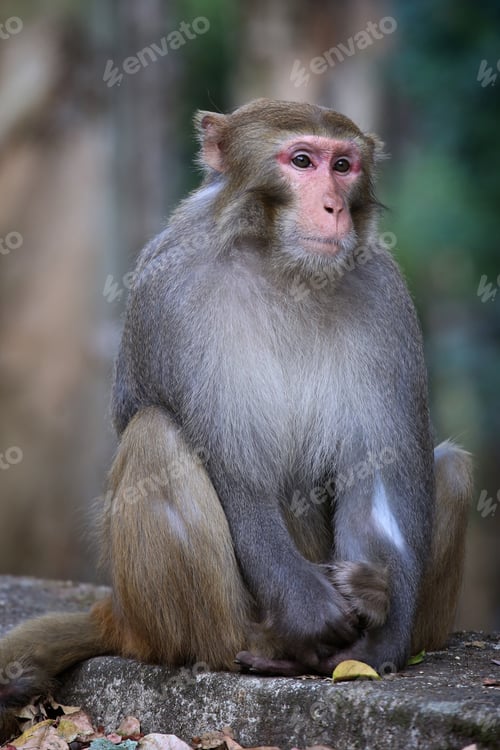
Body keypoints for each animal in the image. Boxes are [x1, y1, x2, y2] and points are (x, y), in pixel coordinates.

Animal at [0, 99, 472, 738]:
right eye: (302, 161)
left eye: (343, 165)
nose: (333, 207)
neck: (281, 265)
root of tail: (117, 612)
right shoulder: (174, 292)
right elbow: (232, 468)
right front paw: (309, 606)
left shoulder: (384, 295)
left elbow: (379, 471)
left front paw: (379, 636)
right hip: (170, 621)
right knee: (155, 438)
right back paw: (267, 648)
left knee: (451, 468)